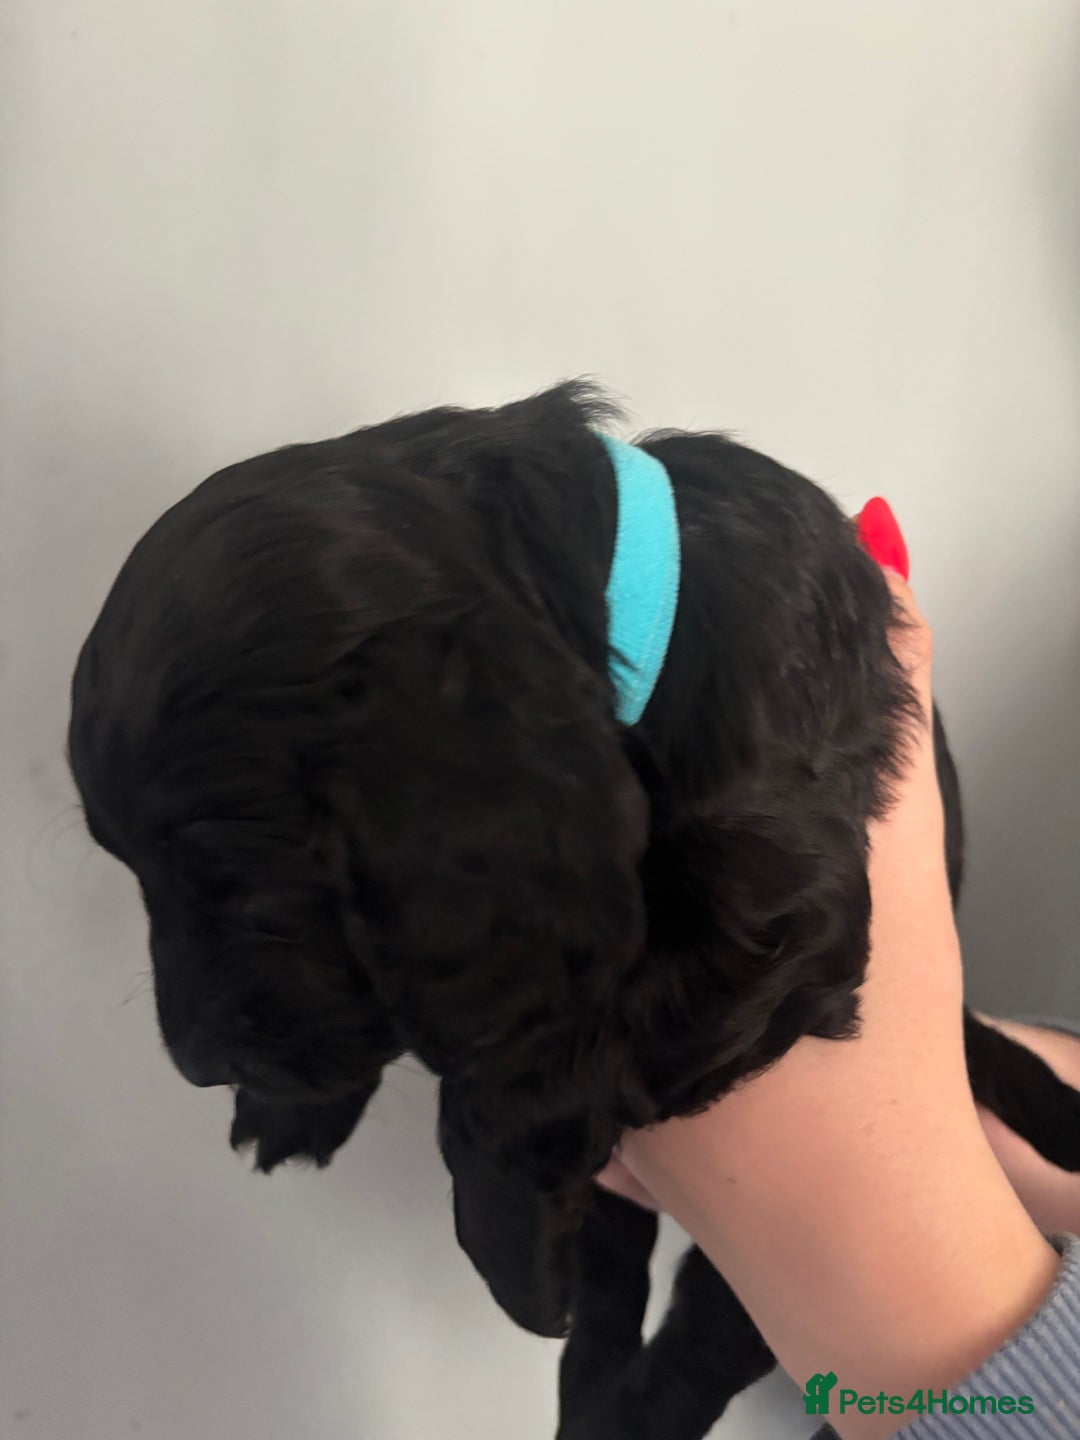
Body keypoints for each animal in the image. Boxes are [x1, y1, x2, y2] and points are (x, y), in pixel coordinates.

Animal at [68, 382, 1080, 1439]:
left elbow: (525, 1072)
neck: (628, 597)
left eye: (246, 892)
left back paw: (624, 1409)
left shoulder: (768, 916)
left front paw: (502, 1245)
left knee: (717, 1323)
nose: (193, 1064)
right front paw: (291, 1110)